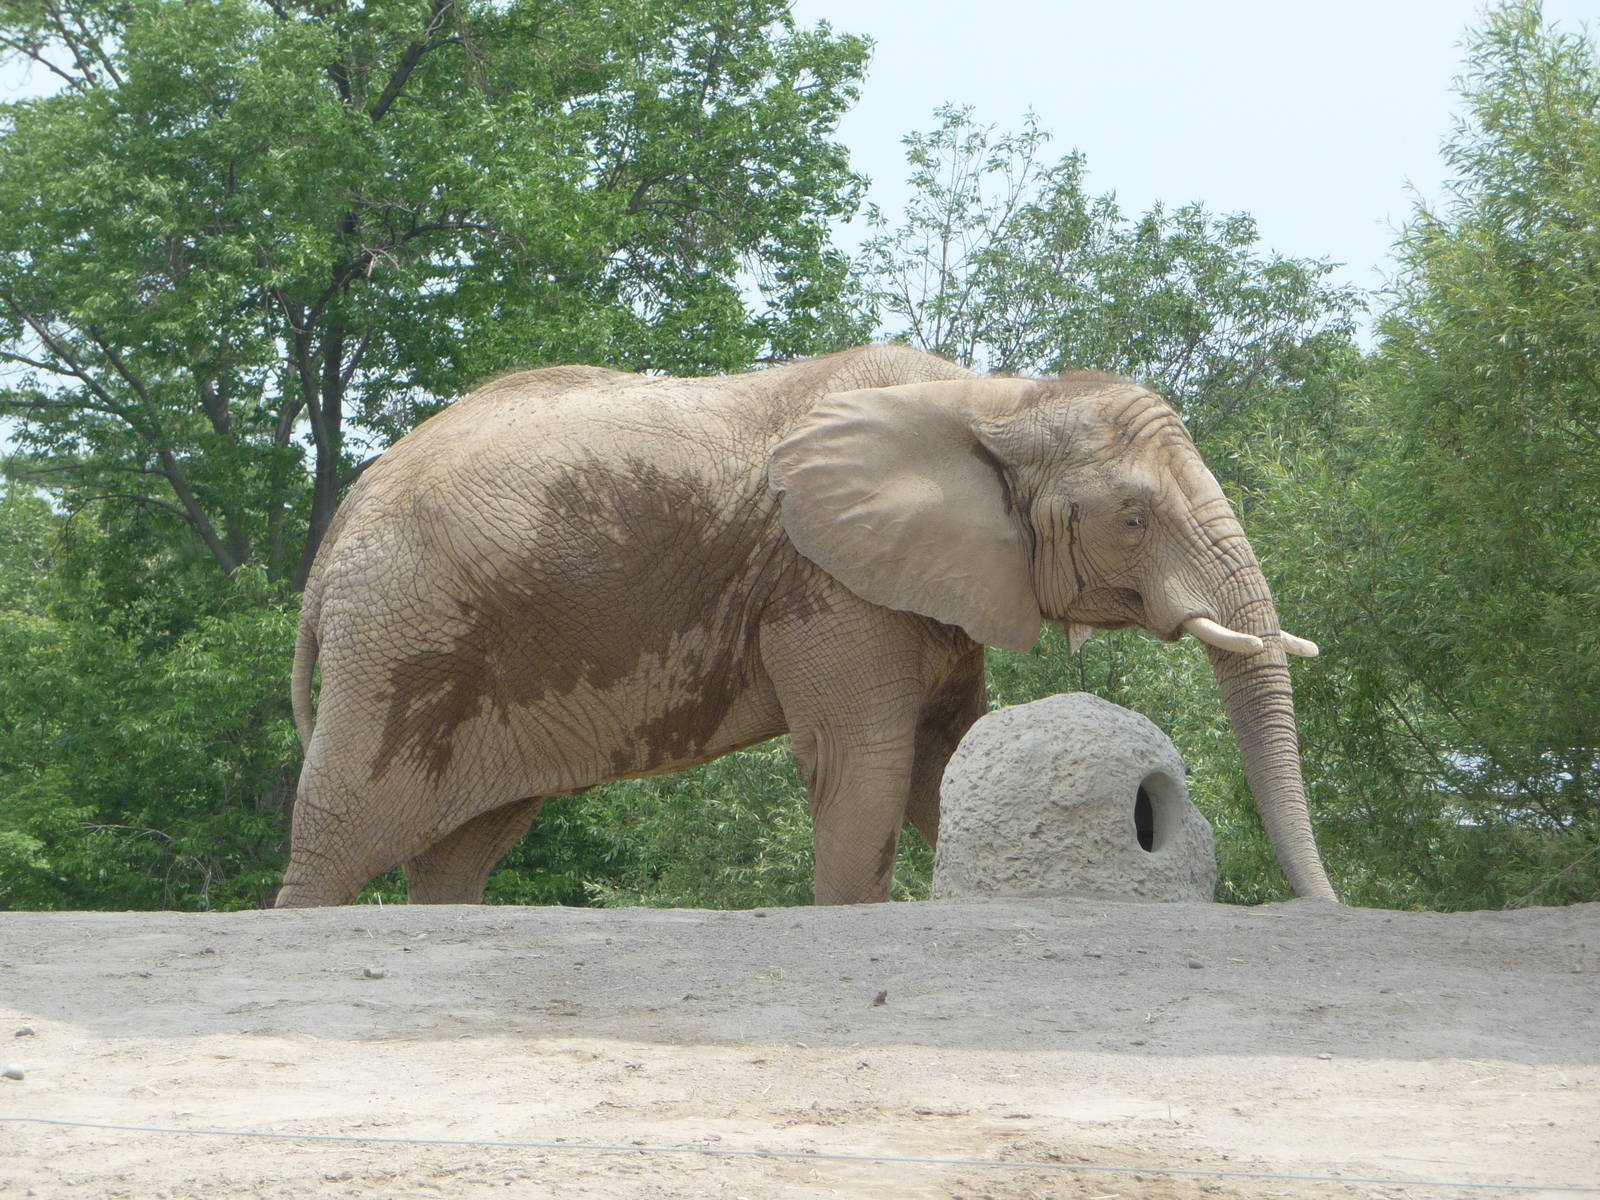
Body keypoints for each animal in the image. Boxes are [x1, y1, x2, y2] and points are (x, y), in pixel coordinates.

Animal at [276, 344, 1335, 908]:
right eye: (1135, 518)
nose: (1325, 907)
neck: (994, 397)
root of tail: (345, 520)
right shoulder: (828, 581)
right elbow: (864, 763)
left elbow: (941, 766)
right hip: (401, 638)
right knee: (340, 833)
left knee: (462, 848)